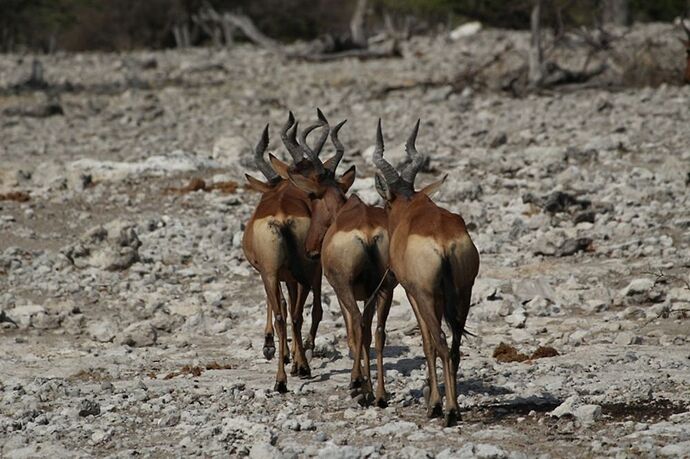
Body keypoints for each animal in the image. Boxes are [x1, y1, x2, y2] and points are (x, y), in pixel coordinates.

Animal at [241, 110, 330, 392]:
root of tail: (281, 217)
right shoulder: (284, 274)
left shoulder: (270, 272)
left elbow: (277, 303)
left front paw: (271, 347)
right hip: (293, 272)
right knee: (292, 314)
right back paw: (291, 372)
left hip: (279, 273)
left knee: (287, 313)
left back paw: (286, 375)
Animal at [284, 123, 396, 410]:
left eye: (312, 195)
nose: (310, 248)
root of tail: (366, 232)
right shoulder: (370, 294)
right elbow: (367, 334)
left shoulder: (339, 289)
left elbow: (353, 331)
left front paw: (360, 384)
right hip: (386, 289)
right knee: (377, 331)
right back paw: (380, 395)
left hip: (345, 287)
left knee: (357, 323)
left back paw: (358, 386)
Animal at [370, 119, 478, 428]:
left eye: (387, 204)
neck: (412, 207)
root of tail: (443, 240)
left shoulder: (412, 293)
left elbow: (427, 342)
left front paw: (434, 405)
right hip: (463, 295)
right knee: (455, 348)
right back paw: (456, 409)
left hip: (427, 296)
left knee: (440, 342)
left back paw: (449, 412)